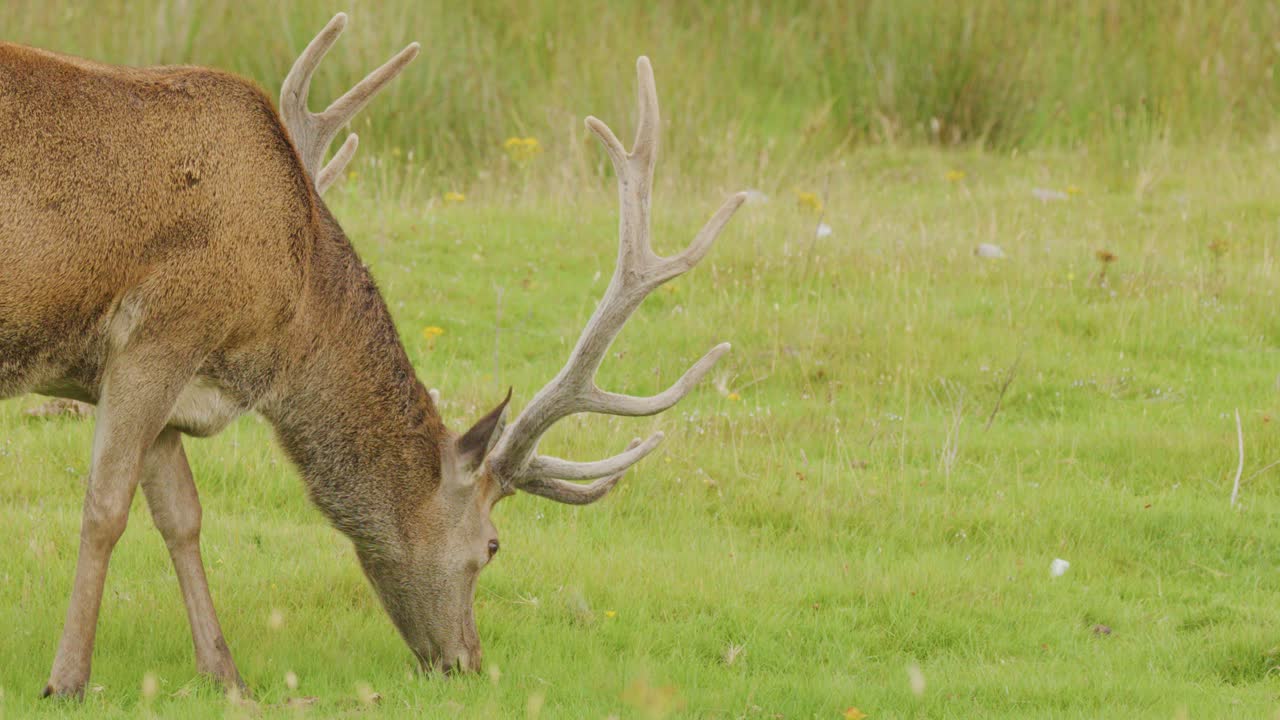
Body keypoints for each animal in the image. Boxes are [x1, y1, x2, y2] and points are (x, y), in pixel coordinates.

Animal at [0, 13, 745, 698]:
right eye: (493, 546)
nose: (467, 663)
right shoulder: (162, 334)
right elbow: (105, 508)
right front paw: (66, 680)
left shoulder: (156, 376)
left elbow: (181, 516)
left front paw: (226, 675)